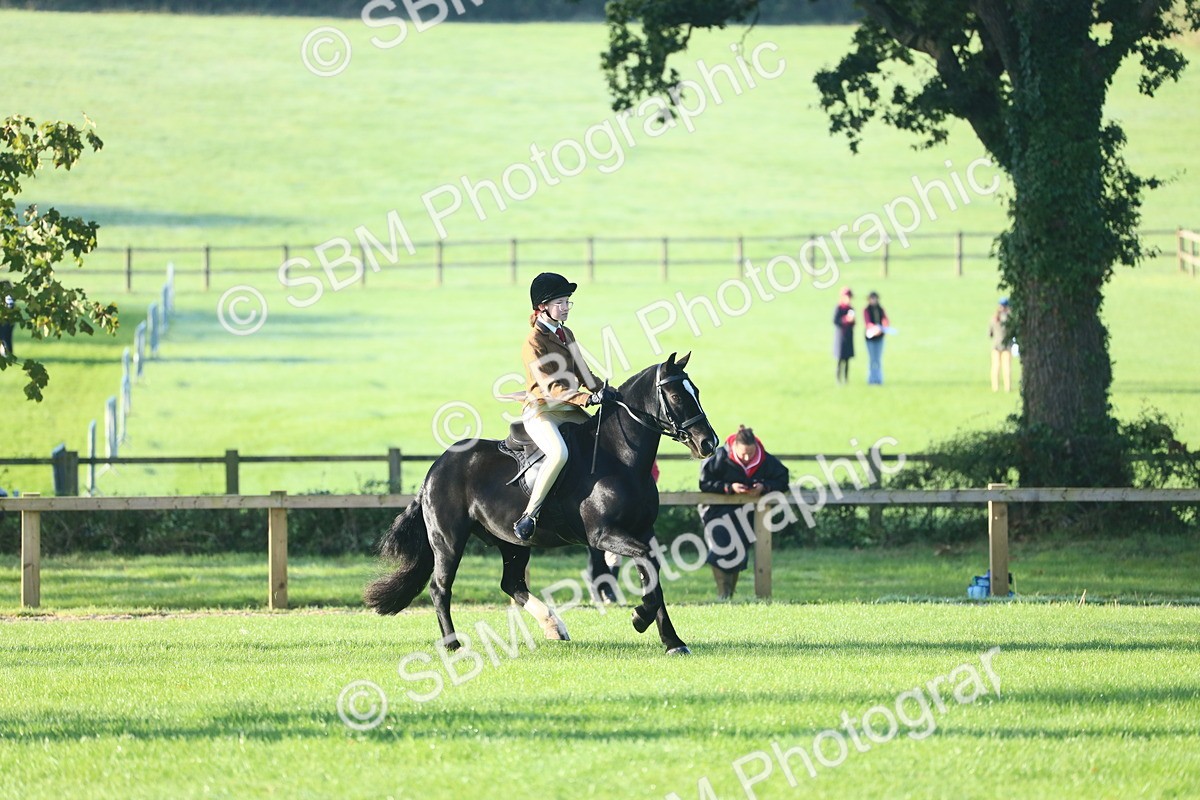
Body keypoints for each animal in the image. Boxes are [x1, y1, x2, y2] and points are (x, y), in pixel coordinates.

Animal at [364, 352, 719, 655]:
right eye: (677, 396)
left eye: (698, 392)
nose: (708, 442)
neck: (620, 457)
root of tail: (435, 469)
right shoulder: (603, 536)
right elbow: (645, 565)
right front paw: (639, 617)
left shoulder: (643, 532)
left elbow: (652, 573)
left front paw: (672, 641)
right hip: (448, 540)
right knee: (441, 588)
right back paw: (453, 644)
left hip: (511, 542)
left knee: (512, 583)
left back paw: (554, 626)